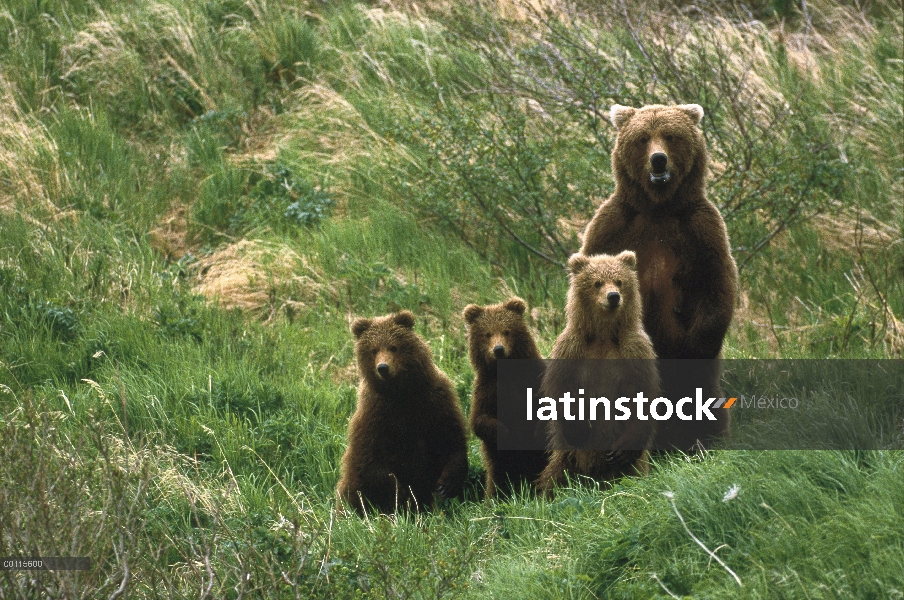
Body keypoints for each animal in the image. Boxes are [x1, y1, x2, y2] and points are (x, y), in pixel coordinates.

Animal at [338, 312, 466, 512]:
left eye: (393, 347)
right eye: (373, 350)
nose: (383, 367)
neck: (401, 392)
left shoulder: (434, 400)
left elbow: (451, 437)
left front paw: (447, 483)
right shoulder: (375, 414)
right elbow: (371, 460)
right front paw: (403, 495)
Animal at [462, 298, 548, 500]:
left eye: (506, 330)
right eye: (487, 334)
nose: (498, 349)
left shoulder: (533, 379)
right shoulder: (487, 389)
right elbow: (479, 420)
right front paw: (505, 432)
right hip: (499, 465)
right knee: (497, 481)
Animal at [532, 251, 660, 494]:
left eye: (619, 281)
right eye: (597, 282)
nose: (613, 296)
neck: (603, 334)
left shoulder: (634, 350)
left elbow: (644, 392)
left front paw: (622, 450)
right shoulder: (572, 349)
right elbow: (559, 387)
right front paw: (578, 427)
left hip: (632, 468)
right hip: (567, 459)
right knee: (555, 477)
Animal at [584, 103, 740, 452]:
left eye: (670, 135)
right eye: (643, 138)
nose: (659, 159)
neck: (658, 207)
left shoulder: (702, 231)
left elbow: (716, 286)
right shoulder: (613, 227)